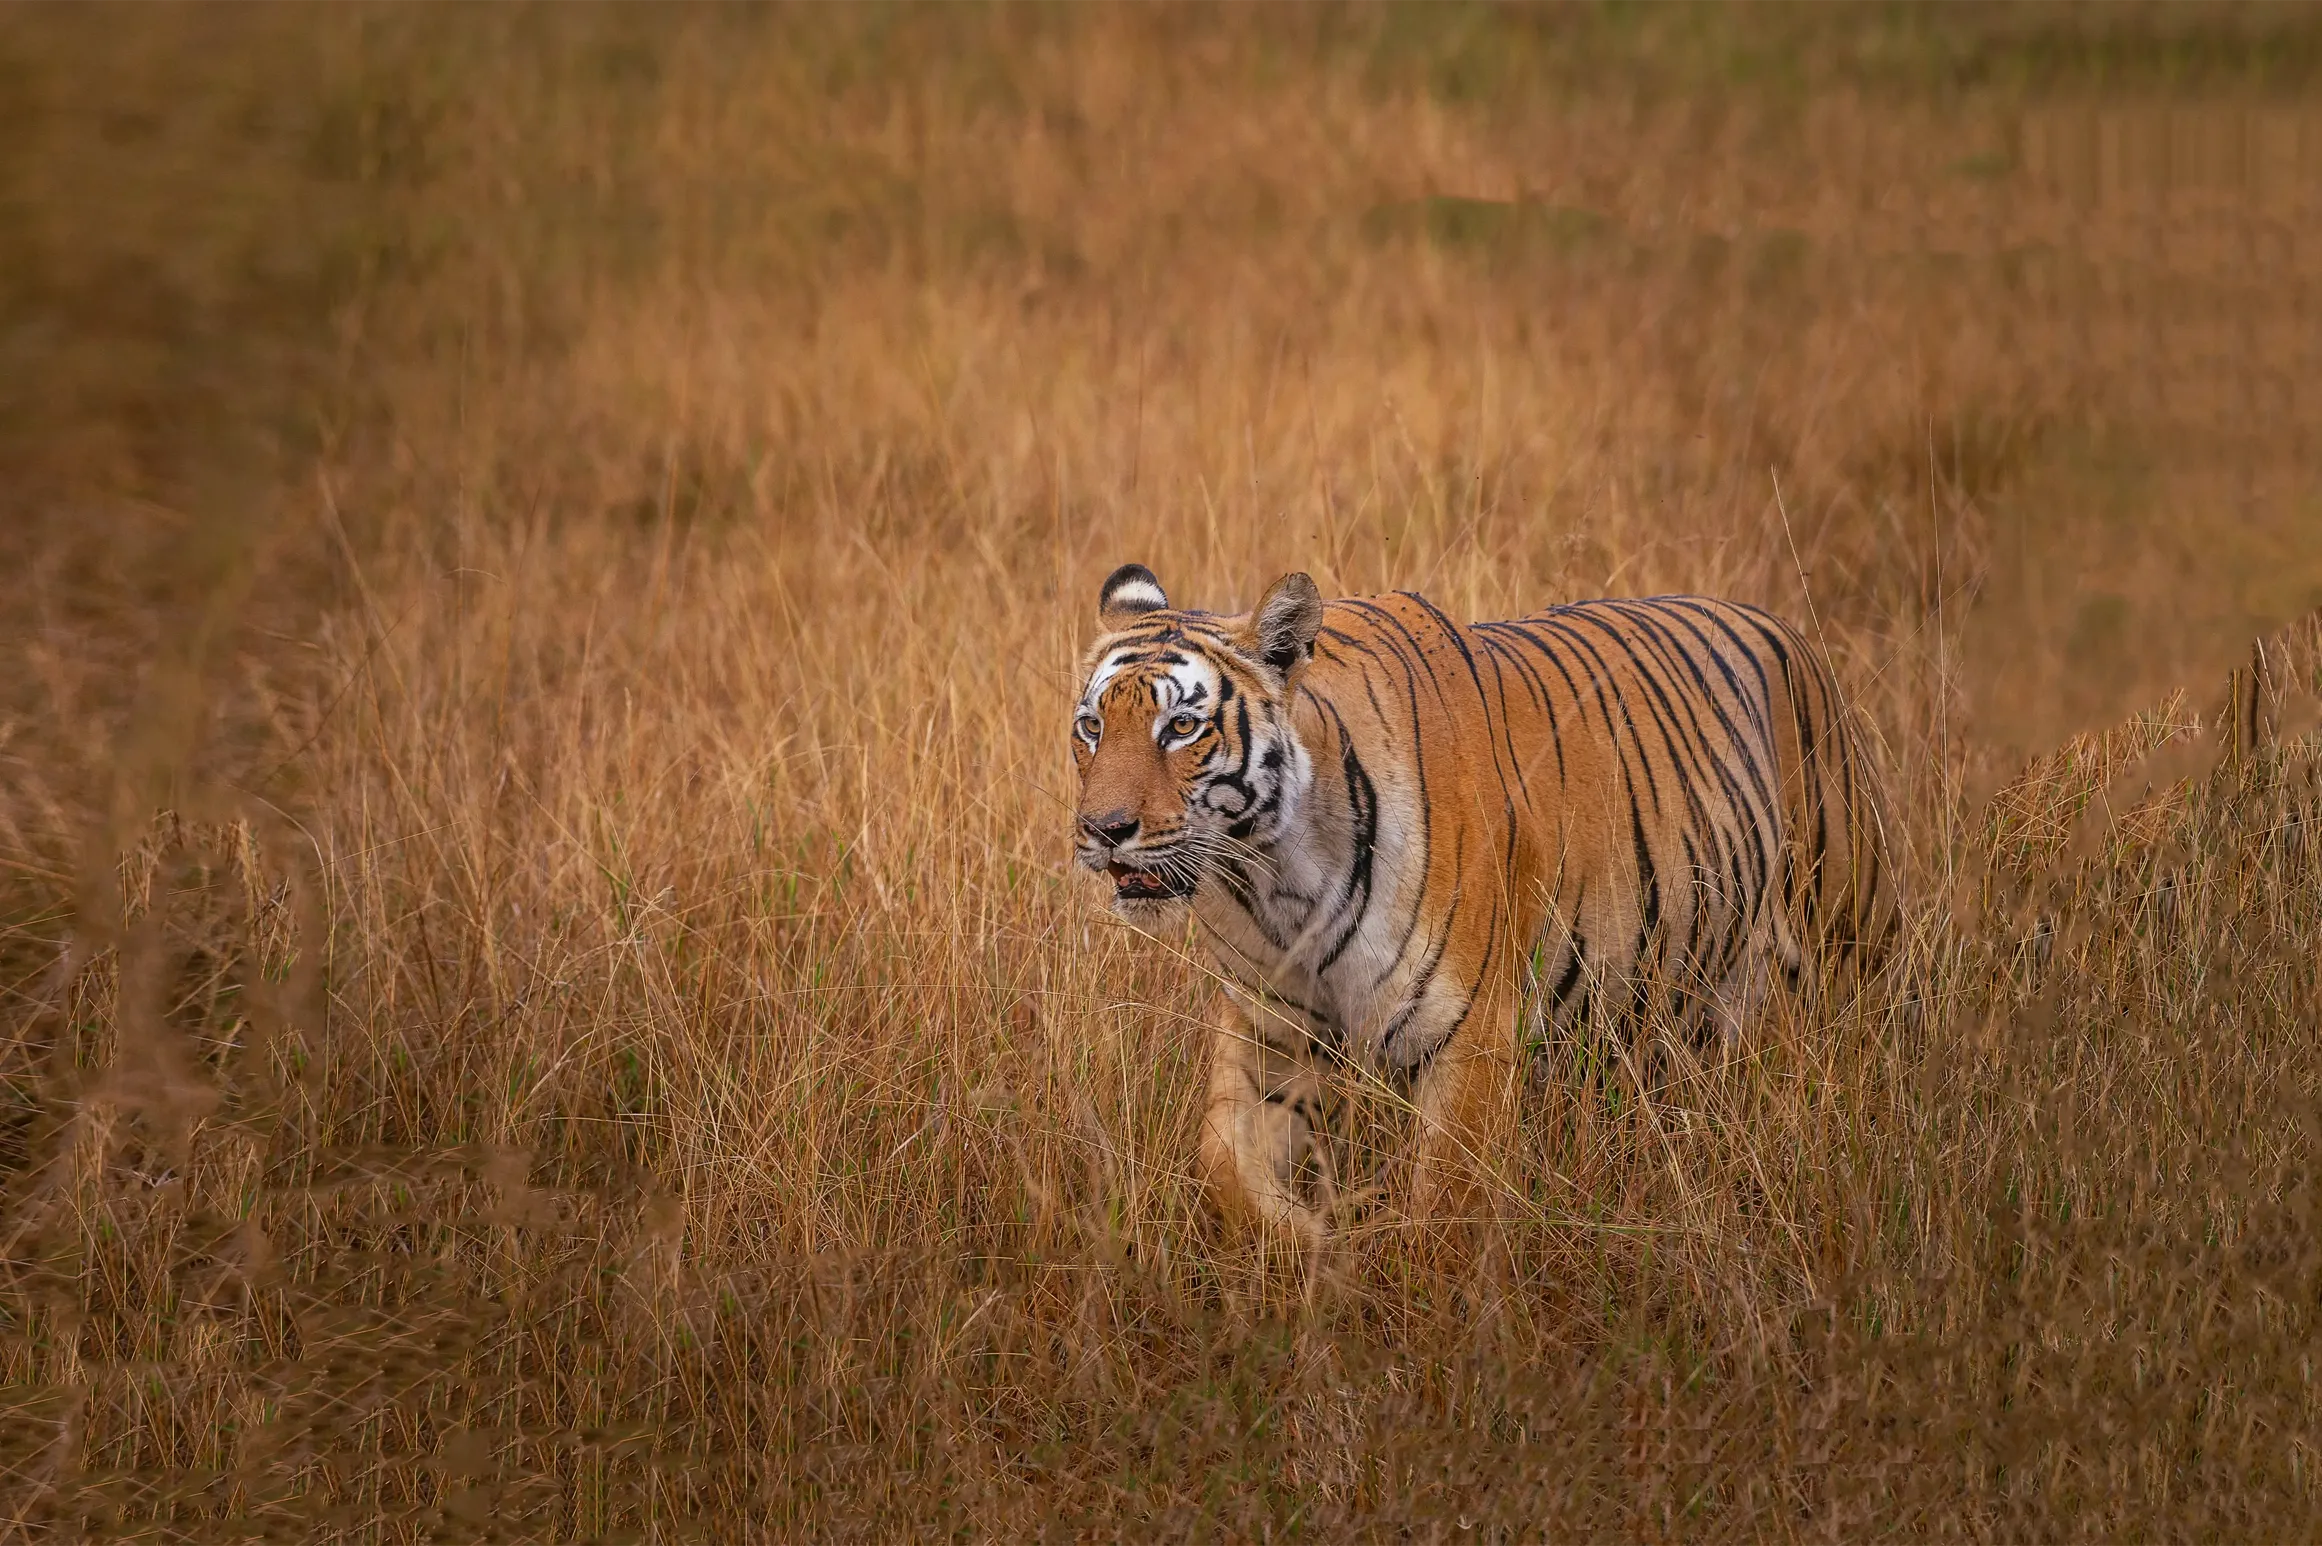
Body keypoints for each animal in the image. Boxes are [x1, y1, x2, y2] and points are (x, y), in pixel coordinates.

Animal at [1070, 563, 1899, 1241]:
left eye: (1182, 727)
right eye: (1091, 728)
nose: (1102, 830)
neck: (1275, 878)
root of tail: (1784, 627)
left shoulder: (1470, 1039)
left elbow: (1446, 1218)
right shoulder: (1266, 1031)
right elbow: (1225, 1170)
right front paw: (1319, 1256)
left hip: (1848, 939)